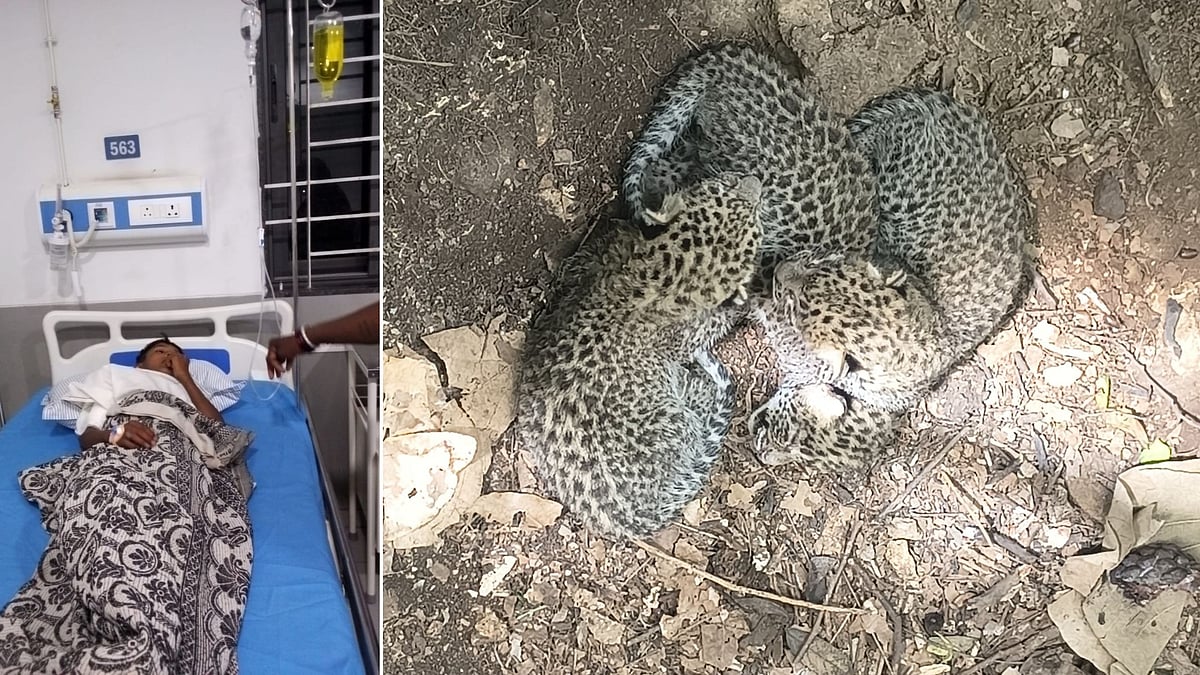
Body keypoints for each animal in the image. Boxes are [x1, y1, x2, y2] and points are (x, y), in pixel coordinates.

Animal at [515, 173, 764, 539]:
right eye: (756, 231)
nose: (755, 183)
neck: (664, 278)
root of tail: (634, 517)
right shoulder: (690, 339)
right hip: (680, 416)